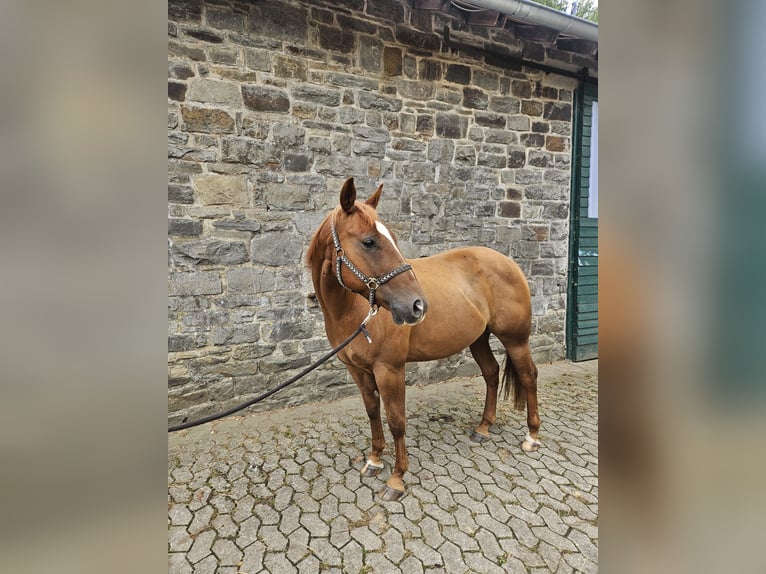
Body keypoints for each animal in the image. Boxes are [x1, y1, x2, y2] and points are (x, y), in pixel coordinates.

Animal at [306, 177, 540, 501]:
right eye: (369, 241)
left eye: (392, 237)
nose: (418, 306)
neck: (355, 311)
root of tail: (509, 263)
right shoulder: (357, 370)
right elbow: (372, 412)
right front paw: (374, 460)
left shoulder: (390, 370)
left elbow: (397, 421)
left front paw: (396, 479)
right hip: (478, 339)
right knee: (491, 373)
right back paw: (483, 428)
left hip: (515, 340)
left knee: (529, 376)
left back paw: (532, 437)